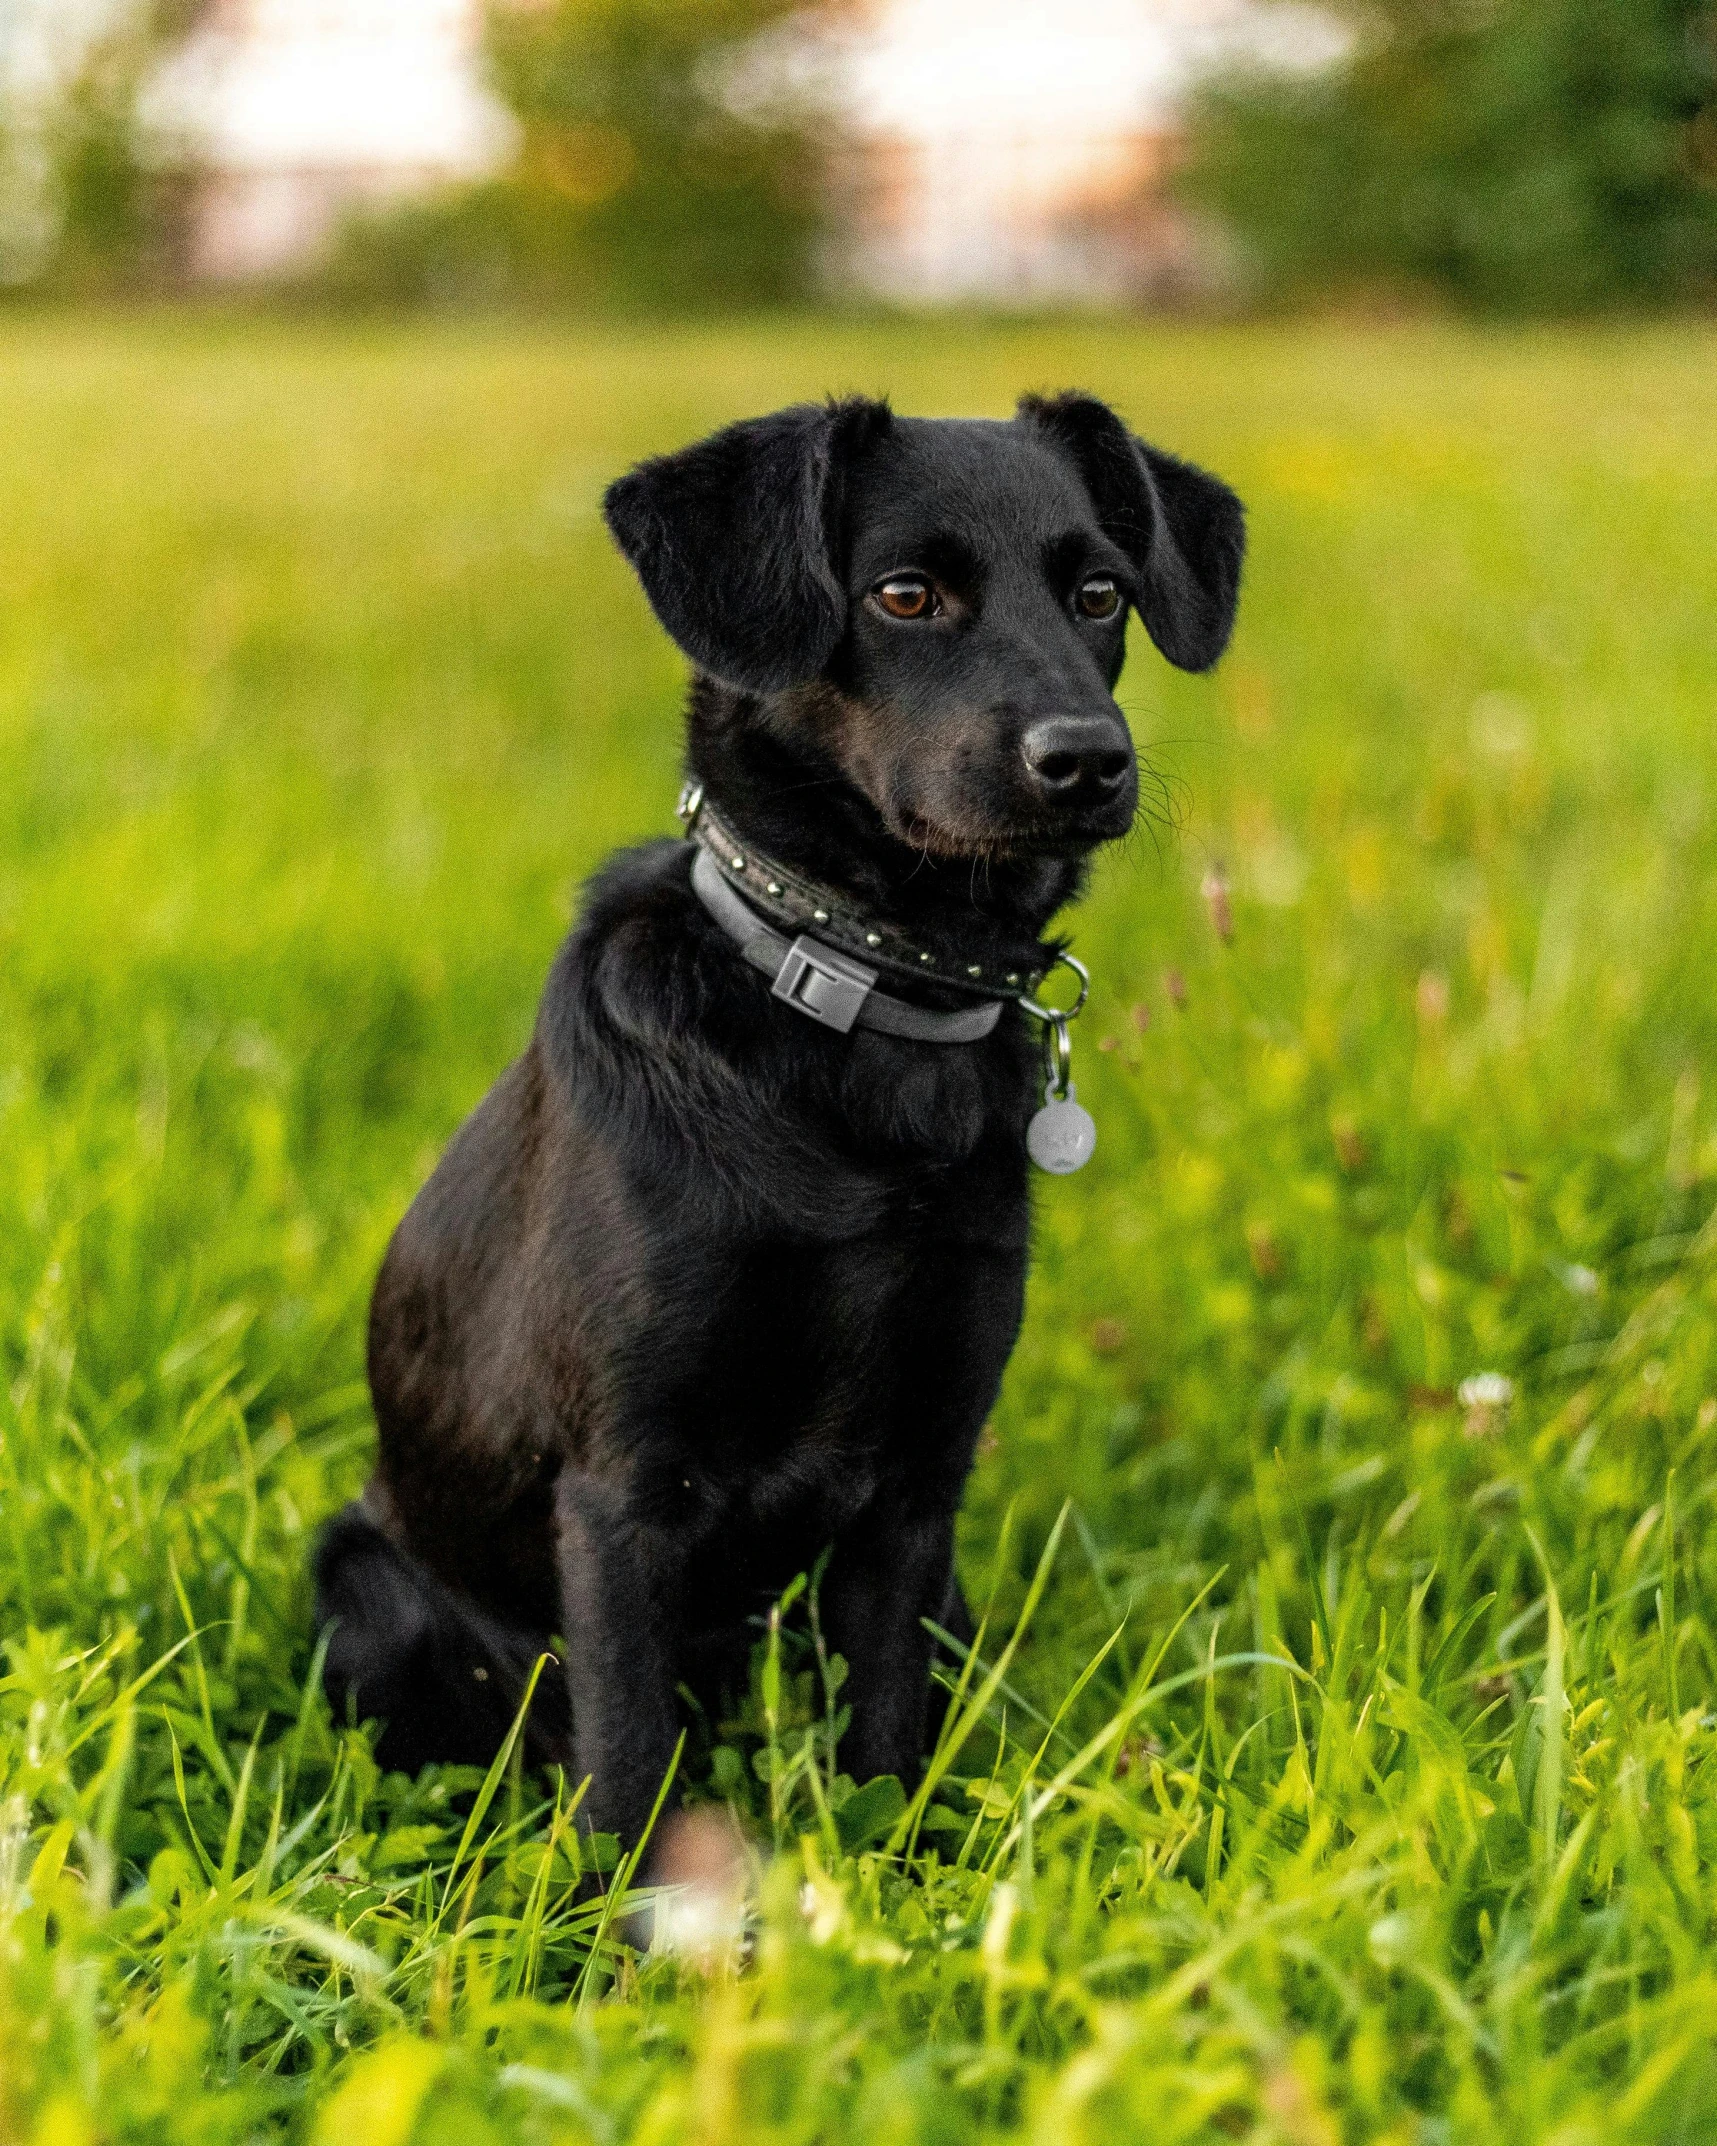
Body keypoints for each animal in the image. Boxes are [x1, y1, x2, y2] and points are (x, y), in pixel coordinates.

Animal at [315, 394, 1244, 1854]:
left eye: (1098, 593)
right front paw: (617, 1916)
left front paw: (895, 1871)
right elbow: (629, 1758)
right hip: (365, 1585)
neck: (865, 1011)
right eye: (905, 595)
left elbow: (886, 1725)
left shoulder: (919, 1484)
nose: (1087, 759)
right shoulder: (622, 1492)